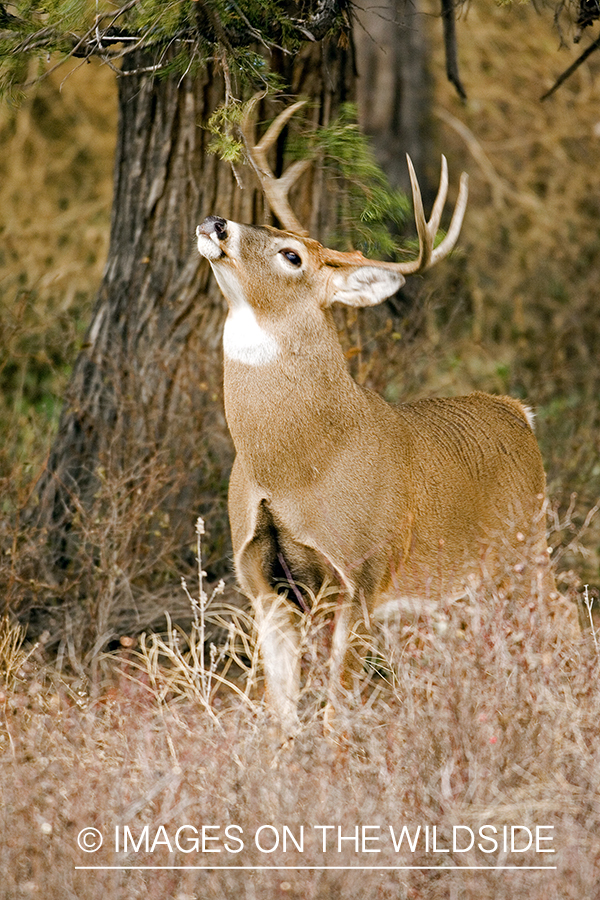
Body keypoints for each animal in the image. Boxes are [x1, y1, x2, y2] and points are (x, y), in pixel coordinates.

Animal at [195, 100, 576, 732]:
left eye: (292, 255)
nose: (215, 222)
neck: (296, 464)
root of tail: (517, 411)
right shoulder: (262, 586)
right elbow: (283, 719)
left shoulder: (363, 574)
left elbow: (333, 718)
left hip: (525, 546)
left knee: (561, 614)